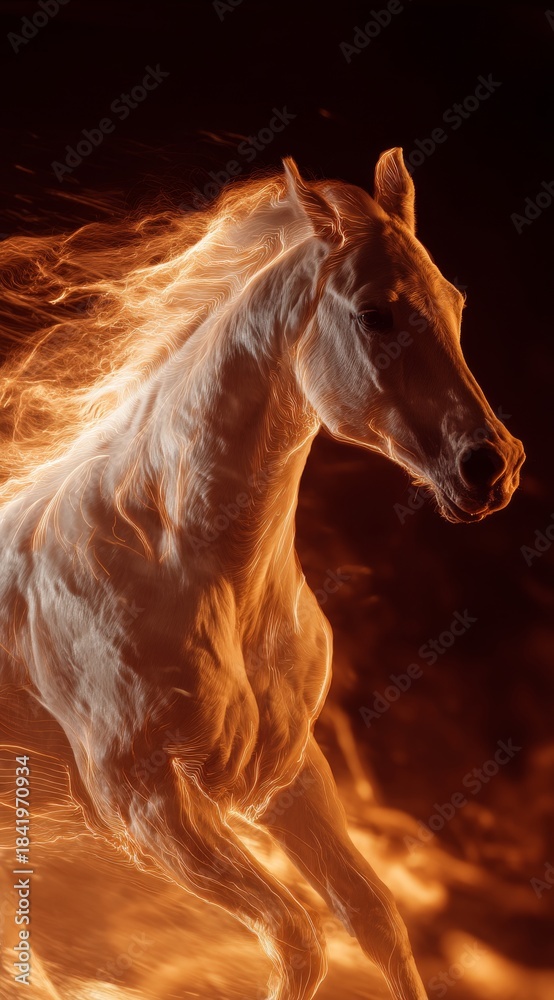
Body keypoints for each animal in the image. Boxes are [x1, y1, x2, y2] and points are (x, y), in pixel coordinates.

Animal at [0, 147, 525, 1000]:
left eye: (454, 301)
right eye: (376, 313)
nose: (492, 467)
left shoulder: (286, 776)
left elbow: (376, 921)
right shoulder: (143, 803)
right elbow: (297, 937)